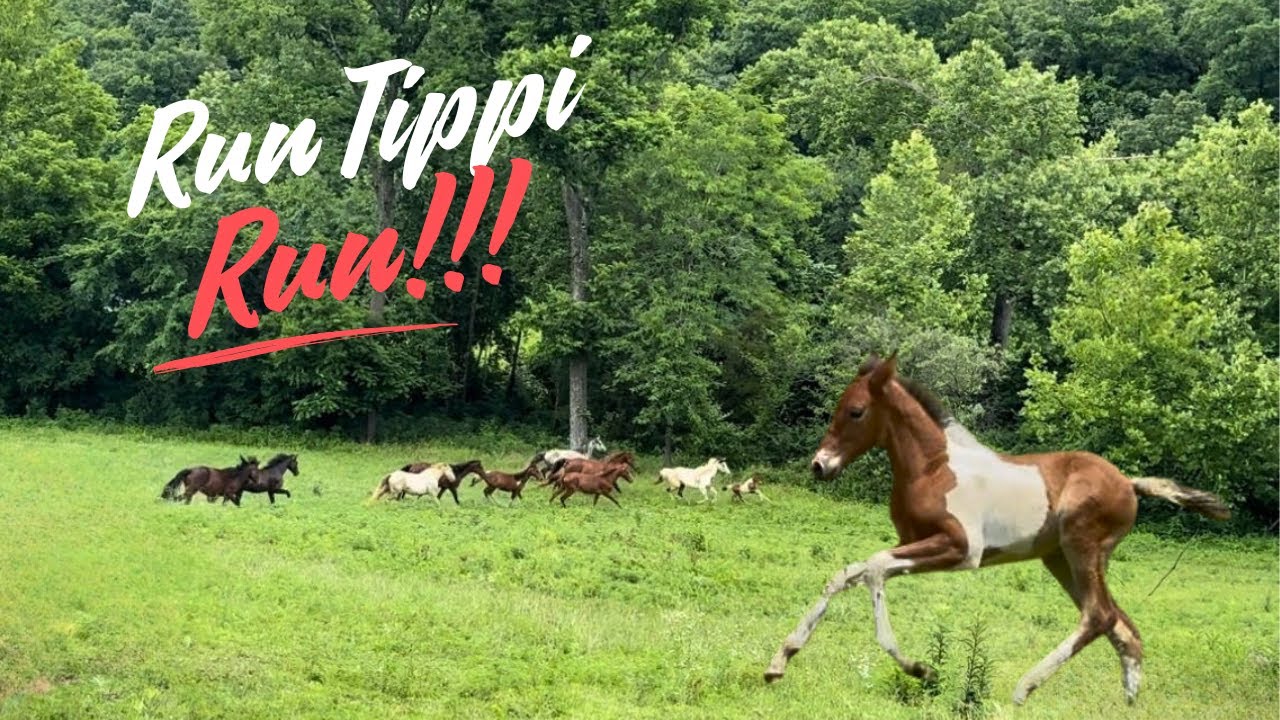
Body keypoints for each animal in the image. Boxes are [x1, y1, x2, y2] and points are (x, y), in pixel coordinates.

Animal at [763, 352, 1230, 705]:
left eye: (856, 411)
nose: (819, 465)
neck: (933, 468)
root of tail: (1129, 484)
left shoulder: (961, 548)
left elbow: (874, 570)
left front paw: (921, 669)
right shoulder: (910, 541)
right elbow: (845, 574)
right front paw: (779, 661)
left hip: (1082, 548)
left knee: (1100, 616)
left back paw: (1023, 688)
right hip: (1061, 558)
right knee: (1123, 629)